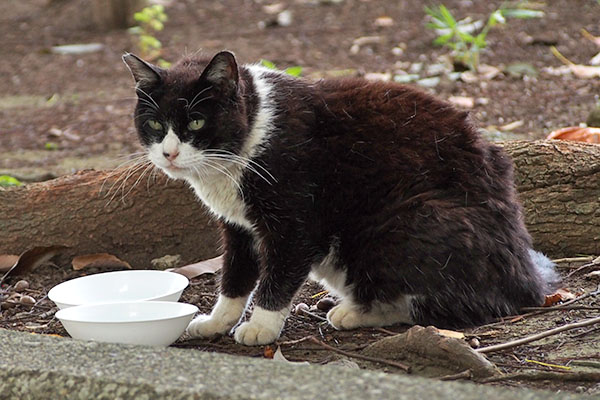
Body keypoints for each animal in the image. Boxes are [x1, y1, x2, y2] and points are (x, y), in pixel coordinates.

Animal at [123, 50, 556, 346]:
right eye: (155, 124)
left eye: (197, 122)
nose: (169, 153)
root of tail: (527, 278)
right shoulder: (238, 226)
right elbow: (235, 274)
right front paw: (218, 321)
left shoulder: (297, 220)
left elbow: (278, 275)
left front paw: (261, 326)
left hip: (413, 219)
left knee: (458, 304)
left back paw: (355, 312)